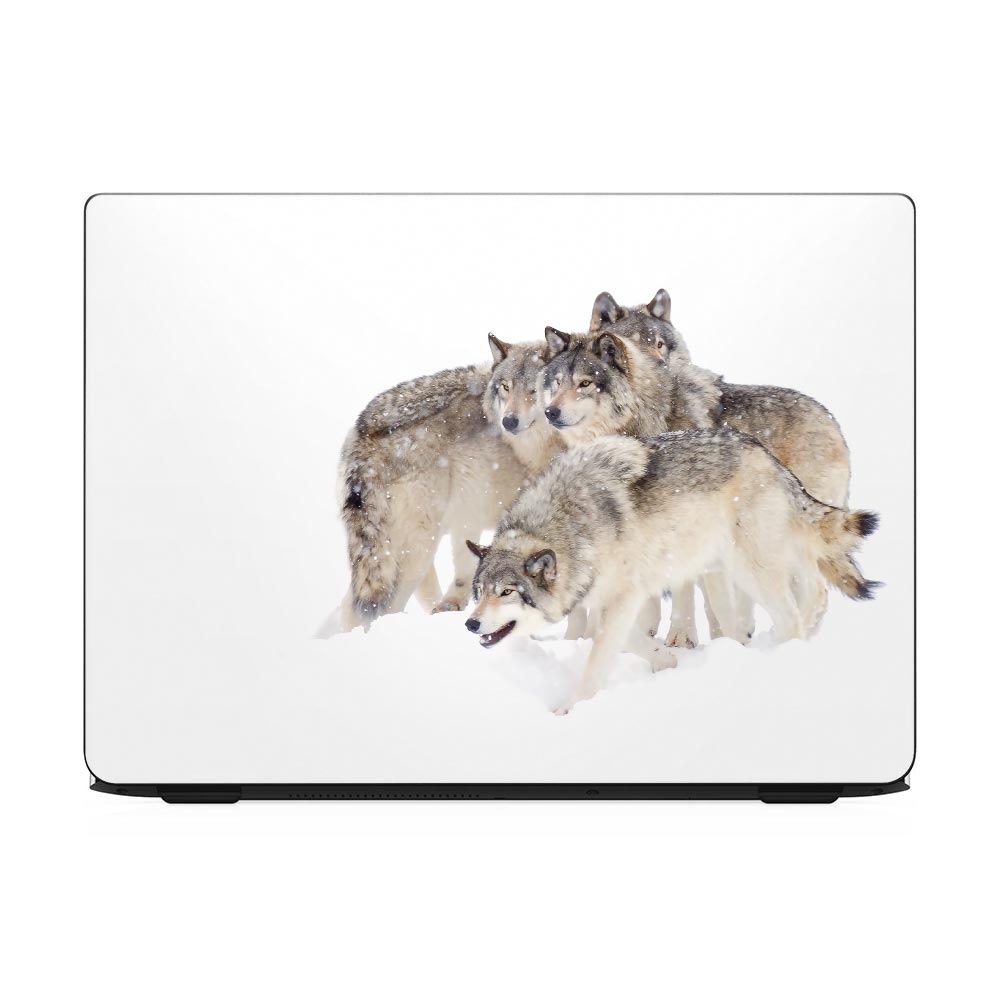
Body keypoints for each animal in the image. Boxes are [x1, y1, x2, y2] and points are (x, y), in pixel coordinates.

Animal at [464, 431, 879, 712]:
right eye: (479, 591)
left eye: (507, 592)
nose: (470, 623)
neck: (569, 523)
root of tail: (768, 456)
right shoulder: (604, 601)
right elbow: (624, 641)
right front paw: (667, 662)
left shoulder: (625, 596)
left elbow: (598, 657)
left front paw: (572, 708)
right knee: (817, 590)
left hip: (748, 568)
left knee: (792, 612)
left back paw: (779, 653)